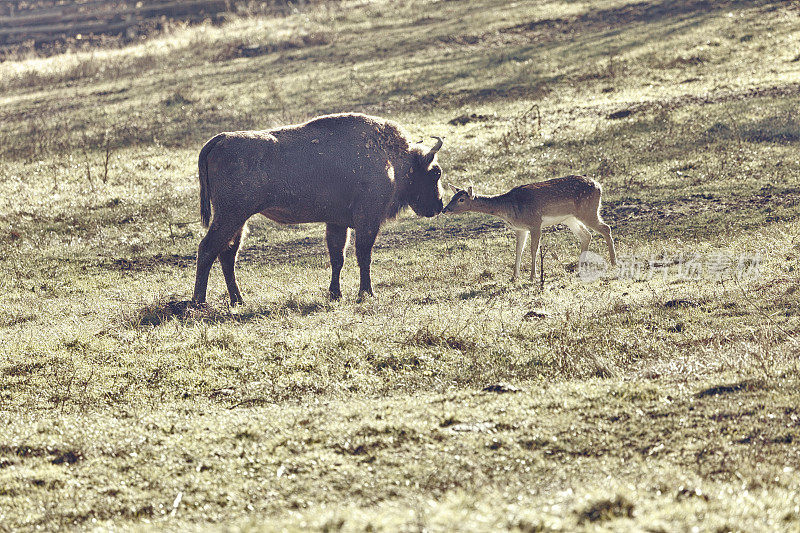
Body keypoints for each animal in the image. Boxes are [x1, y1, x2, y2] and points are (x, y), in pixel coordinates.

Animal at [191, 112, 446, 304]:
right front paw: (366, 293)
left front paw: (335, 294)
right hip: (230, 216)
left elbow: (337, 257)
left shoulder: (338, 222)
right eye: (436, 172)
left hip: (238, 219)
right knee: (207, 249)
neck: (392, 159)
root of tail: (220, 139)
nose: (439, 205)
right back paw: (199, 302)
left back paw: (238, 301)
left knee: (227, 254)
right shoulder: (368, 220)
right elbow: (363, 255)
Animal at [440, 177, 616, 280]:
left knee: (606, 228)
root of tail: (599, 187)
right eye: (452, 196)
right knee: (586, 235)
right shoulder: (520, 228)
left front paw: (533, 276)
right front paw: (514, 277)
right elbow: (518, 250)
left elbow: (533, 250)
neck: (509, 209)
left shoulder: (535, 223)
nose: (444, 209)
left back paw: (613, 263)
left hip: (588, 210)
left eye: (461, 199)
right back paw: (580, 268)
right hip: (570, 218)